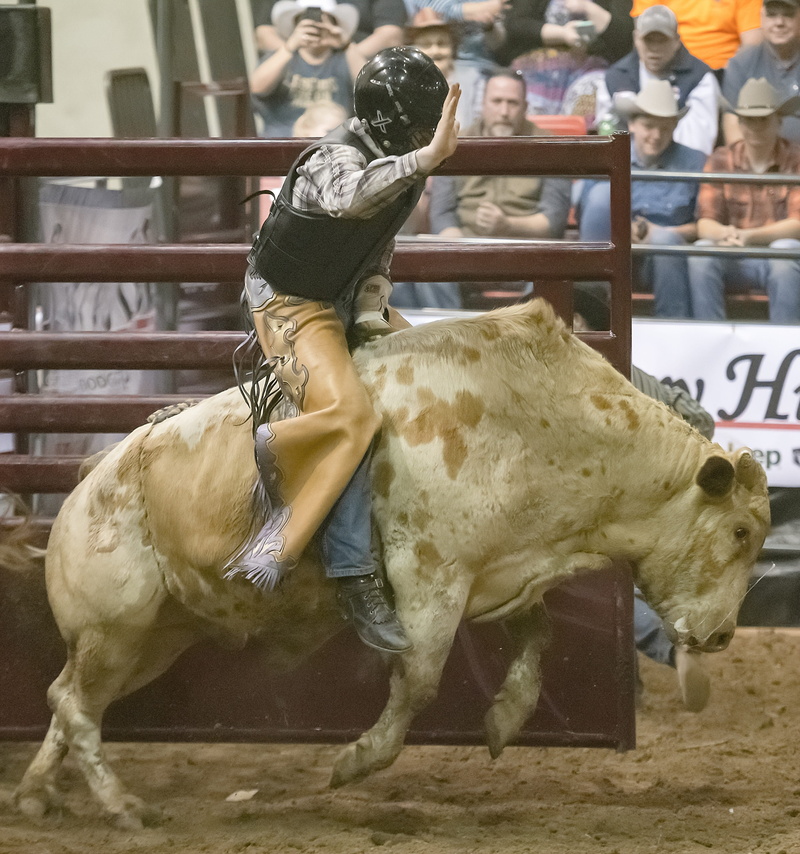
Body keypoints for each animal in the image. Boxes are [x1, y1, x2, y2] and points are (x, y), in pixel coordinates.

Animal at [13, 299, 769, 829]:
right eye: (738, 532)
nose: (722, 635)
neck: (545, 422)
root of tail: (87, 483)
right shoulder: (431, 577)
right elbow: (419, 681)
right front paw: (353, 762)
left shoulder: (504, 569)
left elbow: (538, 638)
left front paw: (503, 721)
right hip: (116, 624)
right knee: (74, 704)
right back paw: (123, 807)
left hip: (154, 636)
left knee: (66, 698)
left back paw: (35, 795)